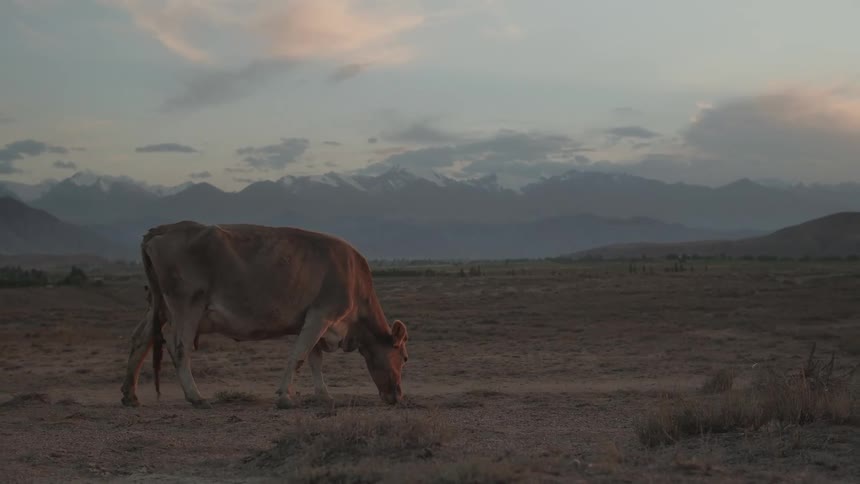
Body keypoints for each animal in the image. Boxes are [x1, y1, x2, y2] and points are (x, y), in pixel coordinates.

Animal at [120, 221, 409, 409]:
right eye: (404, 358)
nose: (398, 395)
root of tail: (162, 229)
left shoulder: (311, 319)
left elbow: (314, 359)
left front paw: (323, 395)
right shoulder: (321, 316)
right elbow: (299, 356)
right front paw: (284, 397)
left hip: (158, 307)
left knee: (141, 339)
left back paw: (130, 395)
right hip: (186, 306)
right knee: (178, 346)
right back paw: (195, 396)